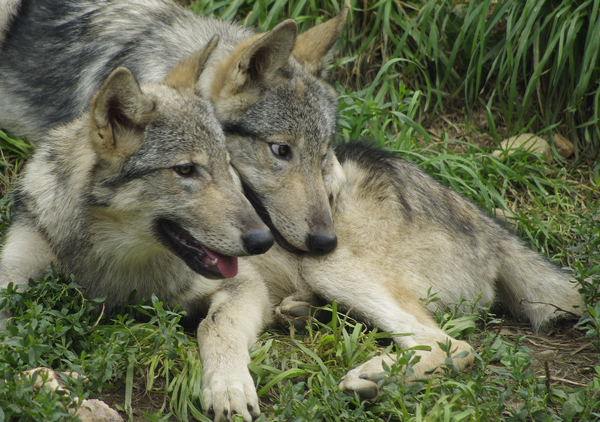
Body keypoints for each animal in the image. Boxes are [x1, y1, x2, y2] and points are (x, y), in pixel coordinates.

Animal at [0, 40, 276, 422]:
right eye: (186, 170)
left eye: (227, 166)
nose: (264, 240)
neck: (116, 264)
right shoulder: (14, 271)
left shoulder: (246, 282)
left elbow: (216, 325)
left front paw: (229, 389)